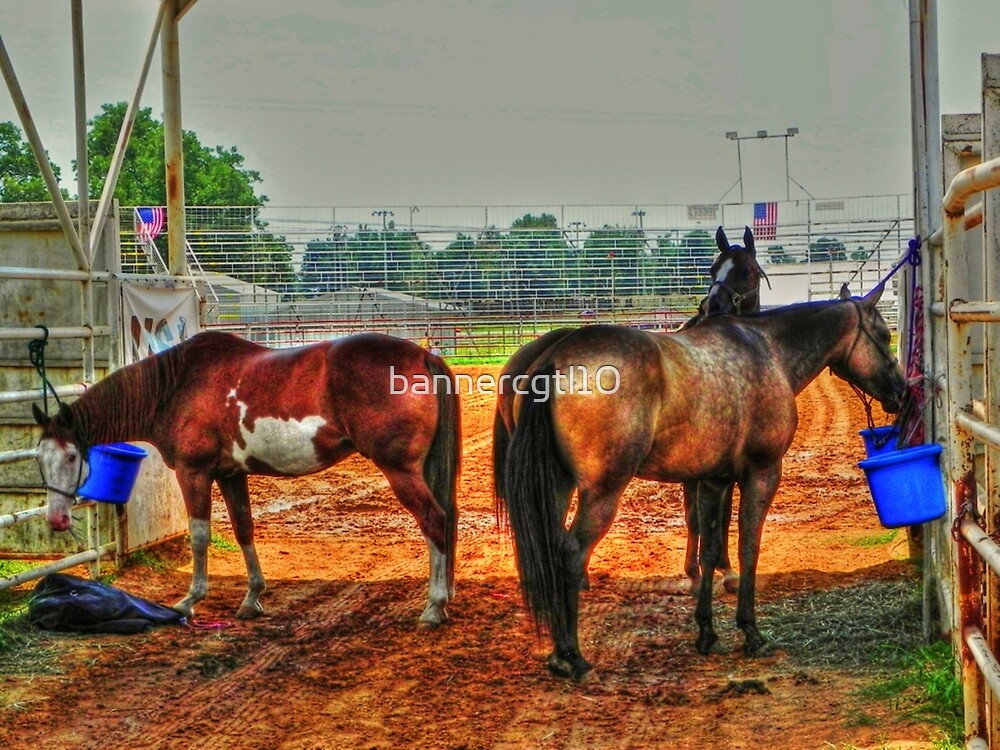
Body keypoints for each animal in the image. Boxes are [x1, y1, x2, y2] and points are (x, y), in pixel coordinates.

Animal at [33, 331, 461, 629]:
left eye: (72, 456)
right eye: (39, 457)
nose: (56, 519)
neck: (176, 385)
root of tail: (423, 354)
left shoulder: (194, 472)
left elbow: (200, 535)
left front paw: (190, 600)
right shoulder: (231, 474)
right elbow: (243, 528)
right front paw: (252, 597)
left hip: (400, 470)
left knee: (434, 520)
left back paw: (433, 606)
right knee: (448, 520)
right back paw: (445, 597)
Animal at [493, 225, 768, 593]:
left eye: (746, 271)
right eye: (713, 270)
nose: (714, 305)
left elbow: (699, 516)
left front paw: (701, 570)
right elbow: (710, 518)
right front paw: (717, 570)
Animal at [499, 284, 904, 680]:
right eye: (884, 335)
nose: (901, 391)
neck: (767, 349)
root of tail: (554, 360)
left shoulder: (713, 480)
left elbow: (710, 548)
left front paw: (707, 632)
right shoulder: (762, 472)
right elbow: (748, 547)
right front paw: (751, 633)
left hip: (557, 486)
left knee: (553, 550)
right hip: (601, 492)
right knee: (570, 555)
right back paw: (572, 657)